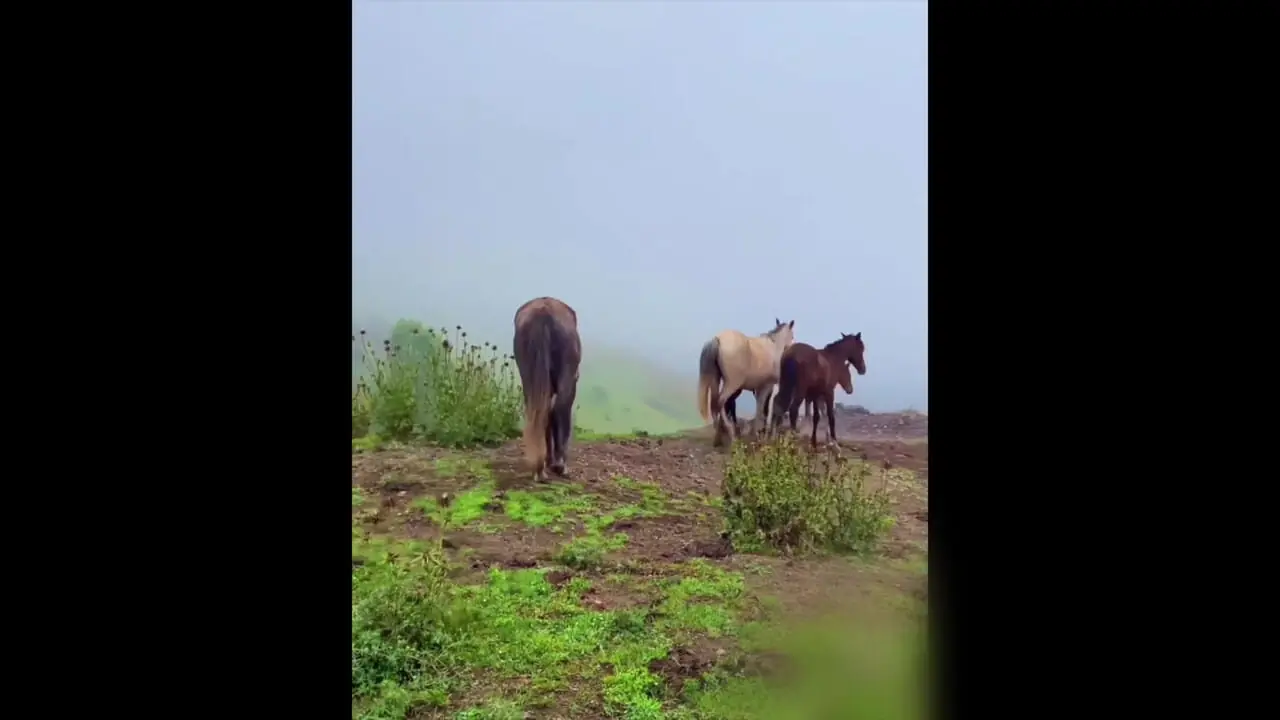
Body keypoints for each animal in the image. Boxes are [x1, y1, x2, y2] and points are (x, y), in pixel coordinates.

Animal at [514, 294, 586, 479]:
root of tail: (544, 312)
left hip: (529, 376)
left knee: (540, 410)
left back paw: (540, 467)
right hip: (567, 376)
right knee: (560, 408)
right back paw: (560, 464)